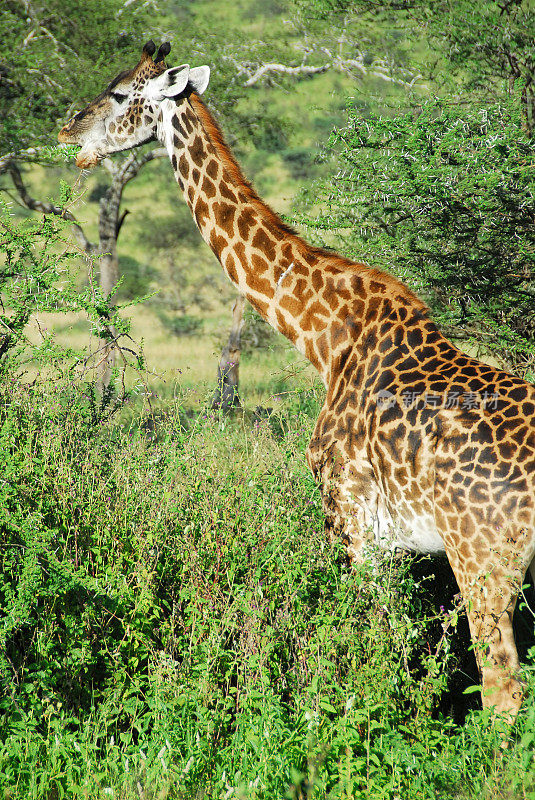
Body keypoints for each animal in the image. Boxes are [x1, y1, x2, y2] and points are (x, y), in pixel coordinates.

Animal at [59, 40, 535, 720]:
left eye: (122, 93)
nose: (69, 133)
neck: (325, 336)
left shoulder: (354, 523)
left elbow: (376, 651)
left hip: (482, 556)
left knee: (502, 694)